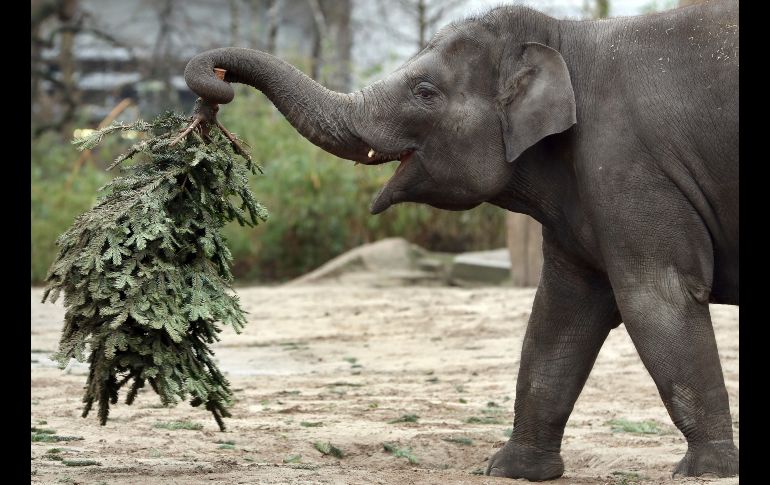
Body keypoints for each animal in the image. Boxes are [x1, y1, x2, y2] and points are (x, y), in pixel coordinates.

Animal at [183, 0, 738, 480]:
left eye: (425, 91)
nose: (216, 87)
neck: (566, 38)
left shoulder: (631, 169)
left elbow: (655, 298)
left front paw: (706, 471)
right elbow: (560, 313)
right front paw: (511, 470)